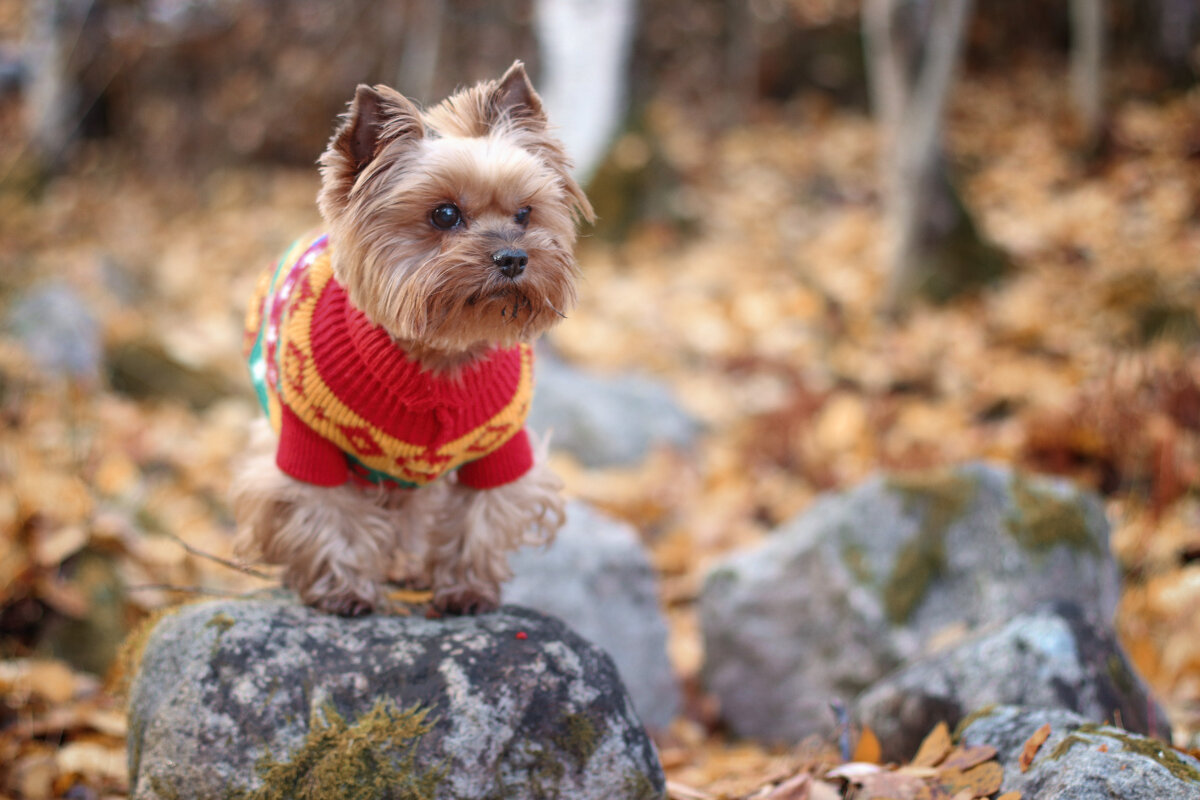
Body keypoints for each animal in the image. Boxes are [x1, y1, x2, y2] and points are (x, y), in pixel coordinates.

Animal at [229, 62, 590, 618]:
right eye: (444, 214)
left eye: (525, 214)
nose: (513, 256)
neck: (438, 356)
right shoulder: (307, 445)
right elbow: (325, 510)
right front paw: (344, 590)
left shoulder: (499, 446)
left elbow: (480, 513)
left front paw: (466, 588)